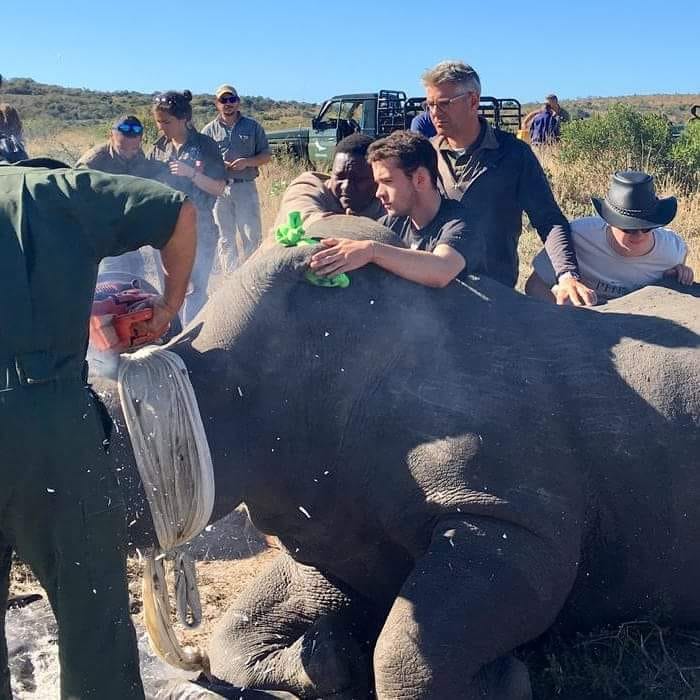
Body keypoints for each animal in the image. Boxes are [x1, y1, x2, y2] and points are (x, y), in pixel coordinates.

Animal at [91, 216, 699, 699]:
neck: (229, 389)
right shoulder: (329, 520)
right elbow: (235, 633)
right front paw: (329, 661)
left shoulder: (514, 517)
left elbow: (408, 654)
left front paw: (501, 684)